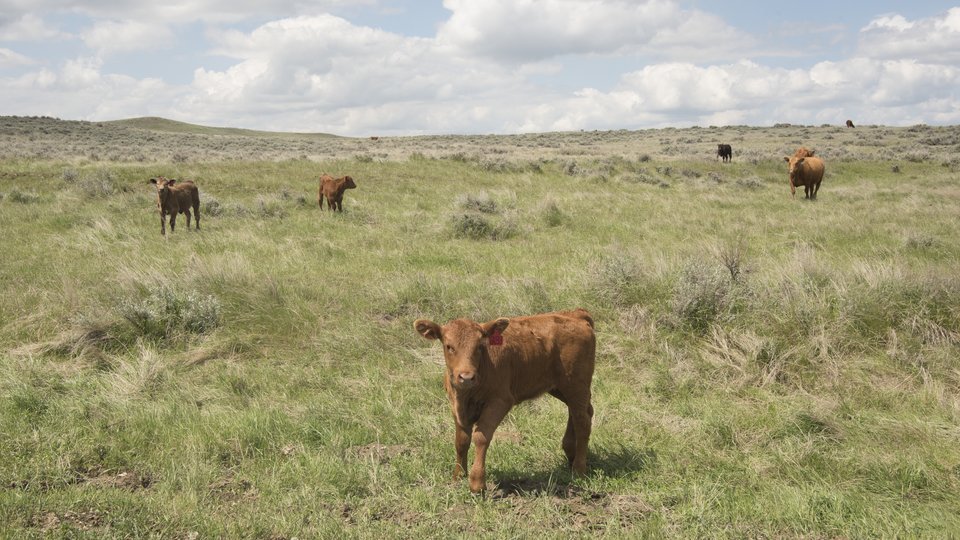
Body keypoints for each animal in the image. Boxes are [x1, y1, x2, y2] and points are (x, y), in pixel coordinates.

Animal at [414, 308, 596, 493]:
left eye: (480, 346)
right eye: (449, 346)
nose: (466, 377)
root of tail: (575, 313)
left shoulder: (500, 401)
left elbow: (480, 437)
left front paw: (477, 483)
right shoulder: (456, 406)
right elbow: (461, 441)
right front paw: (458, 475)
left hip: (576, 384)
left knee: (582, 421)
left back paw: (578, 469)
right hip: (562, 388)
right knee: (581, 411)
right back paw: (570, 454)